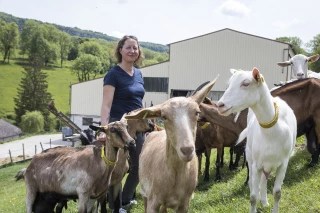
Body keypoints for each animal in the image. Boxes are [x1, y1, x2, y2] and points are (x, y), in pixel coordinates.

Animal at [124, 75, 219, 212]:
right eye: (164, 117)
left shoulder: (184, 204)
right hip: (144, 192)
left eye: (197, 112)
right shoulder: (153, 201)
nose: (187, 150)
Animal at [218, 68, 298, 213]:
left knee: (263, 180)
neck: (271, 134)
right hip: (250, 157)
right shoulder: (256, 164)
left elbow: (277, 193)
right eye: (229, 84)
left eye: (246, 83)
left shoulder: (283, 163)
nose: (220, 105)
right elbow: (253, 196)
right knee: (254, 182)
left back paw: (265, 202)